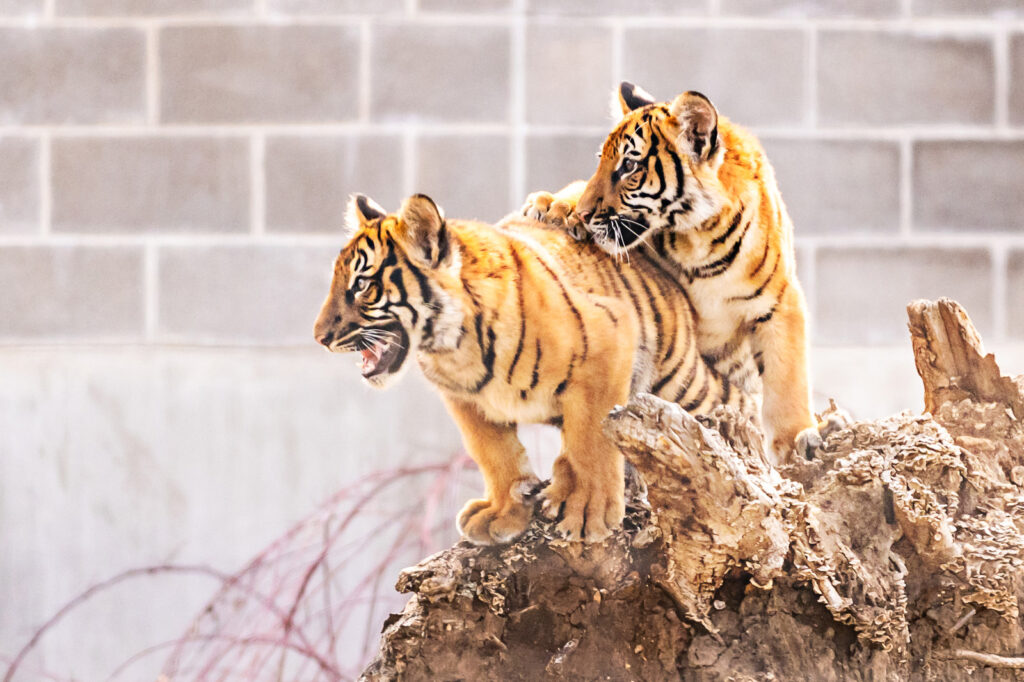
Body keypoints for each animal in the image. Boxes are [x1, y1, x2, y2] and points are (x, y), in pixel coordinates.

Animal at [314, 192, 751, 545]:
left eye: (361, 285)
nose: (320, 336)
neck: (453, 348)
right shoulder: (464, 399)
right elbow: (494, 453)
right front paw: (504, 511)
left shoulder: (608, 337)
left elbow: (592, 438)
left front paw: (590, 511)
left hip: (683, 382)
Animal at [524, 82, 846, 463]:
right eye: (601, 161)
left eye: (629, 165)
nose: (586, 214)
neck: (698, 237)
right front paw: (555, 206)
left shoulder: (780, 302)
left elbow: (787, 379)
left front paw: (799, 439)